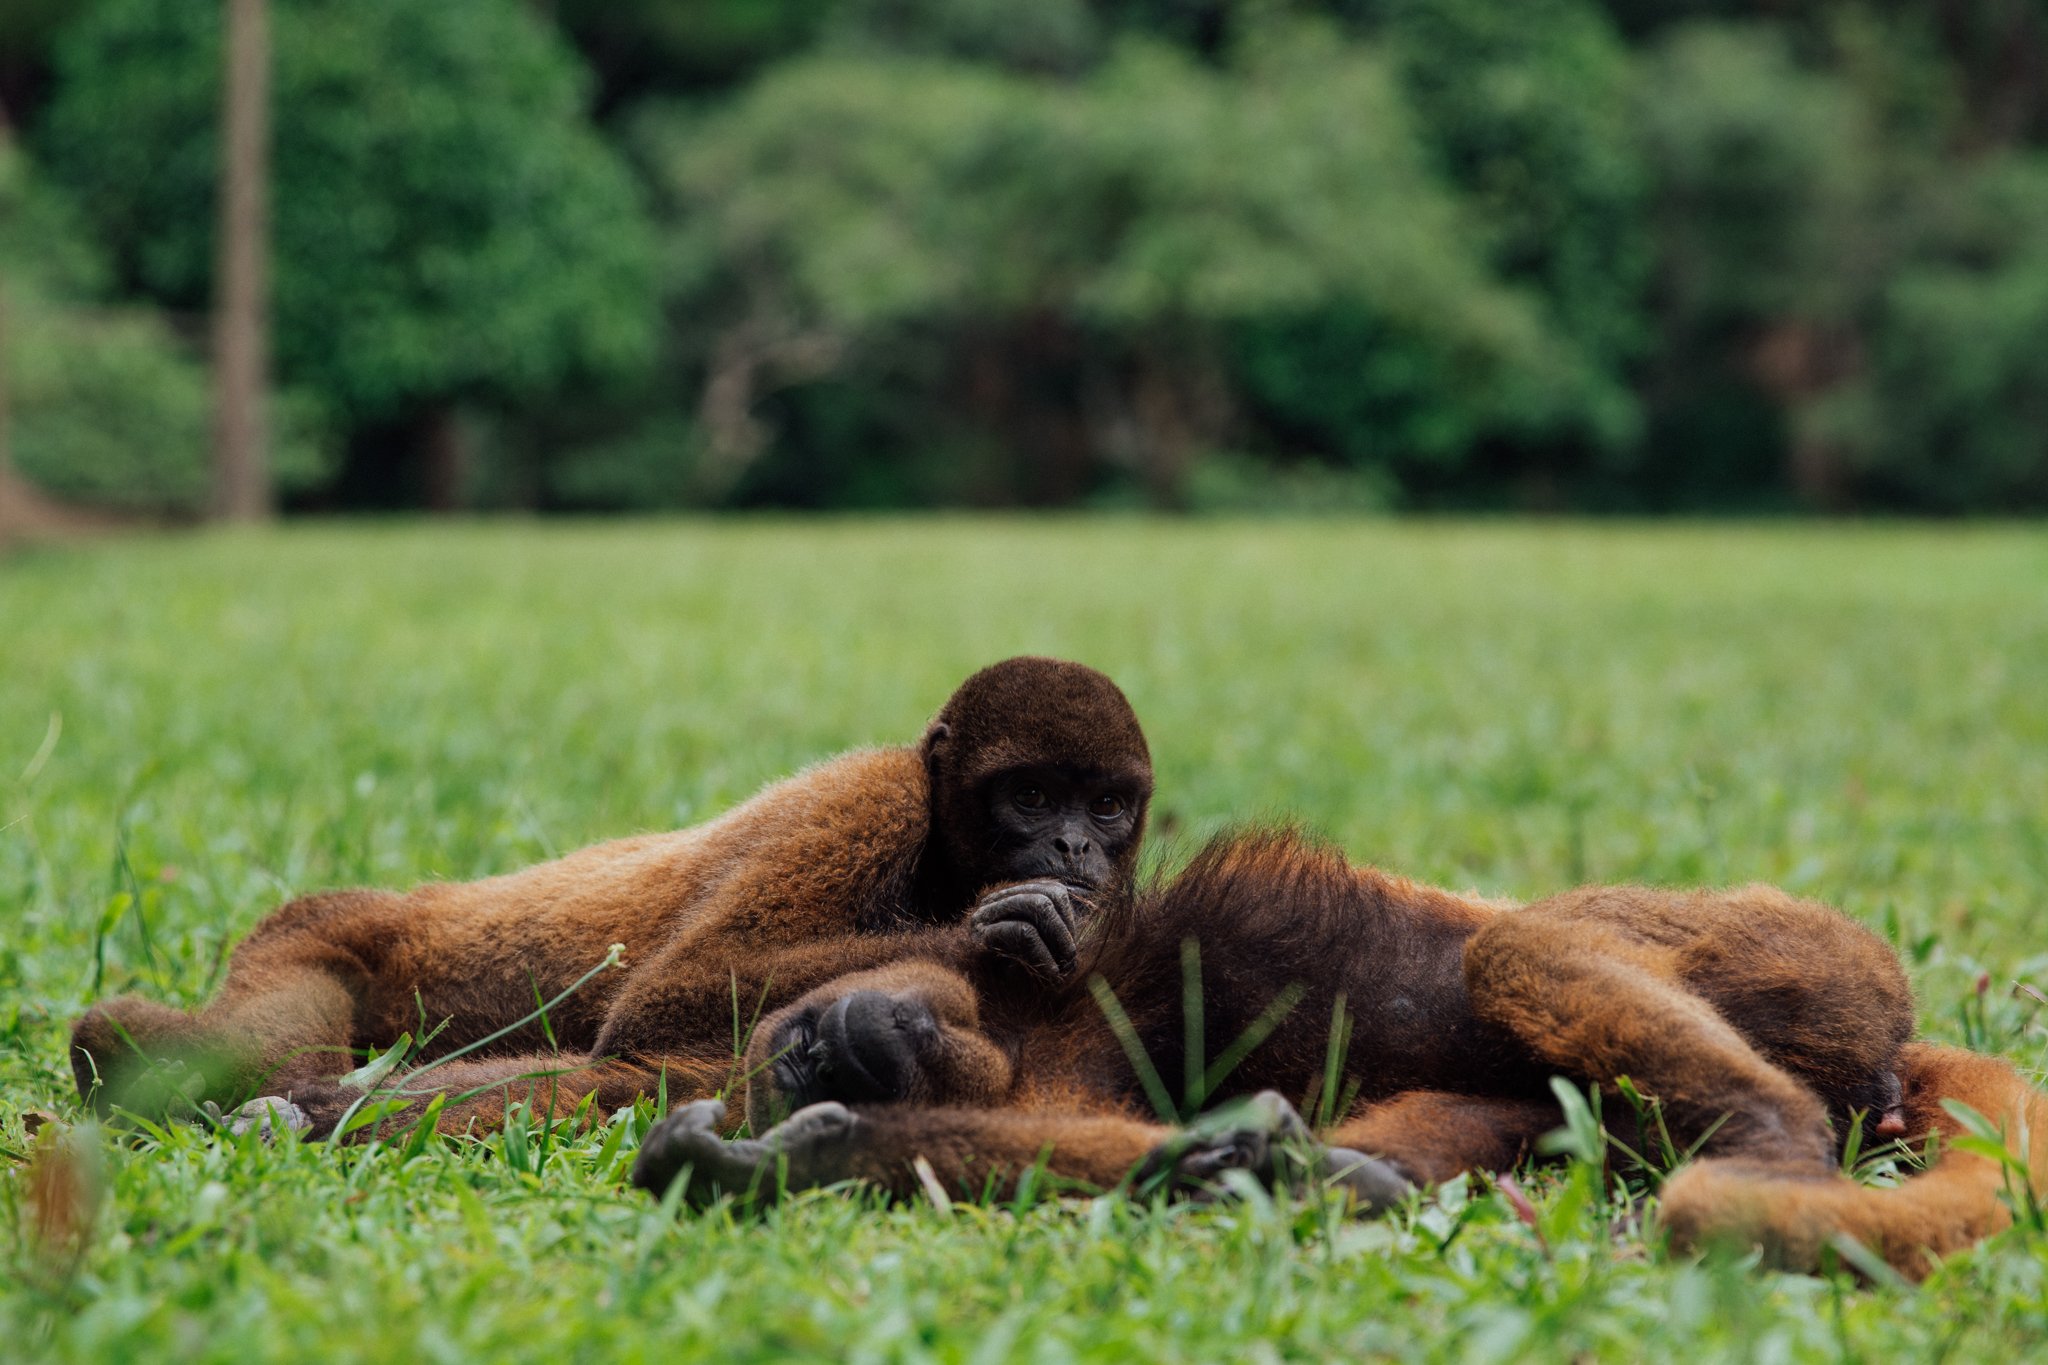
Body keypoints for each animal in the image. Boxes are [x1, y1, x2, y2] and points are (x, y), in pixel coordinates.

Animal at [68, 663, 1155, 1146]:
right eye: (1030, 797)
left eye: (1105, 806)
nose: (1072, 849)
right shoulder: (864, 803)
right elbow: (664, 1000)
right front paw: (1015, 927)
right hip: (318, 934)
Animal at [638, 834, 2048, 1285]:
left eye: (800, 1039)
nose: (823, 1054)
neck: (1010, 1037)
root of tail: (1897, 1038)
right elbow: (1128, 1146)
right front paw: (775, 1160)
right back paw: (1326, 1179)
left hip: (1808, 954)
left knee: (1519, 945)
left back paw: (1769, 1143)